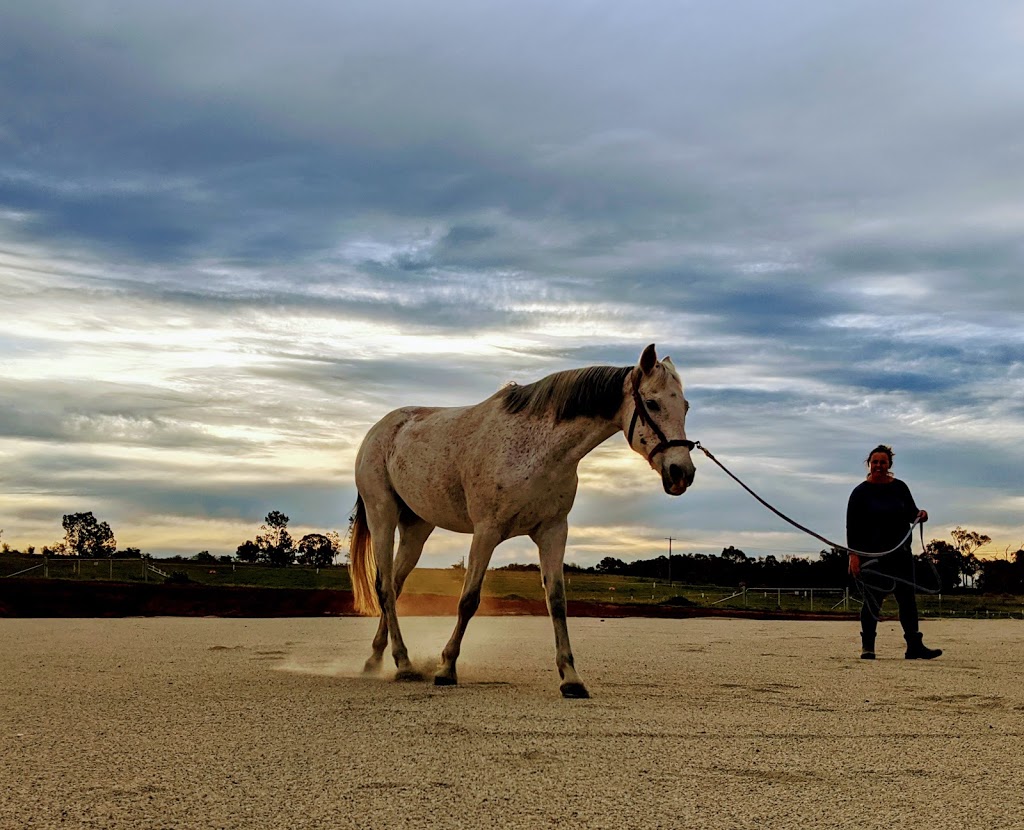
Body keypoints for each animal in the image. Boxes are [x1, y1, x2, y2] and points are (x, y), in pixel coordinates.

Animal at [346, 343, 696, 700]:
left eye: (684, 406)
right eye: (652, 403)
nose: (682, 472)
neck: (539, 450)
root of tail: (379, 429)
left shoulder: (553, 532)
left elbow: (557, 601)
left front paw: (571, 678)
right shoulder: (486, 532)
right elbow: (468, 600)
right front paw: (446, 668)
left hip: (417, 528)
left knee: (394, 586)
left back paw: (377, 659)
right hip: (383, 516)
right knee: (384, 587)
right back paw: (402, 664)